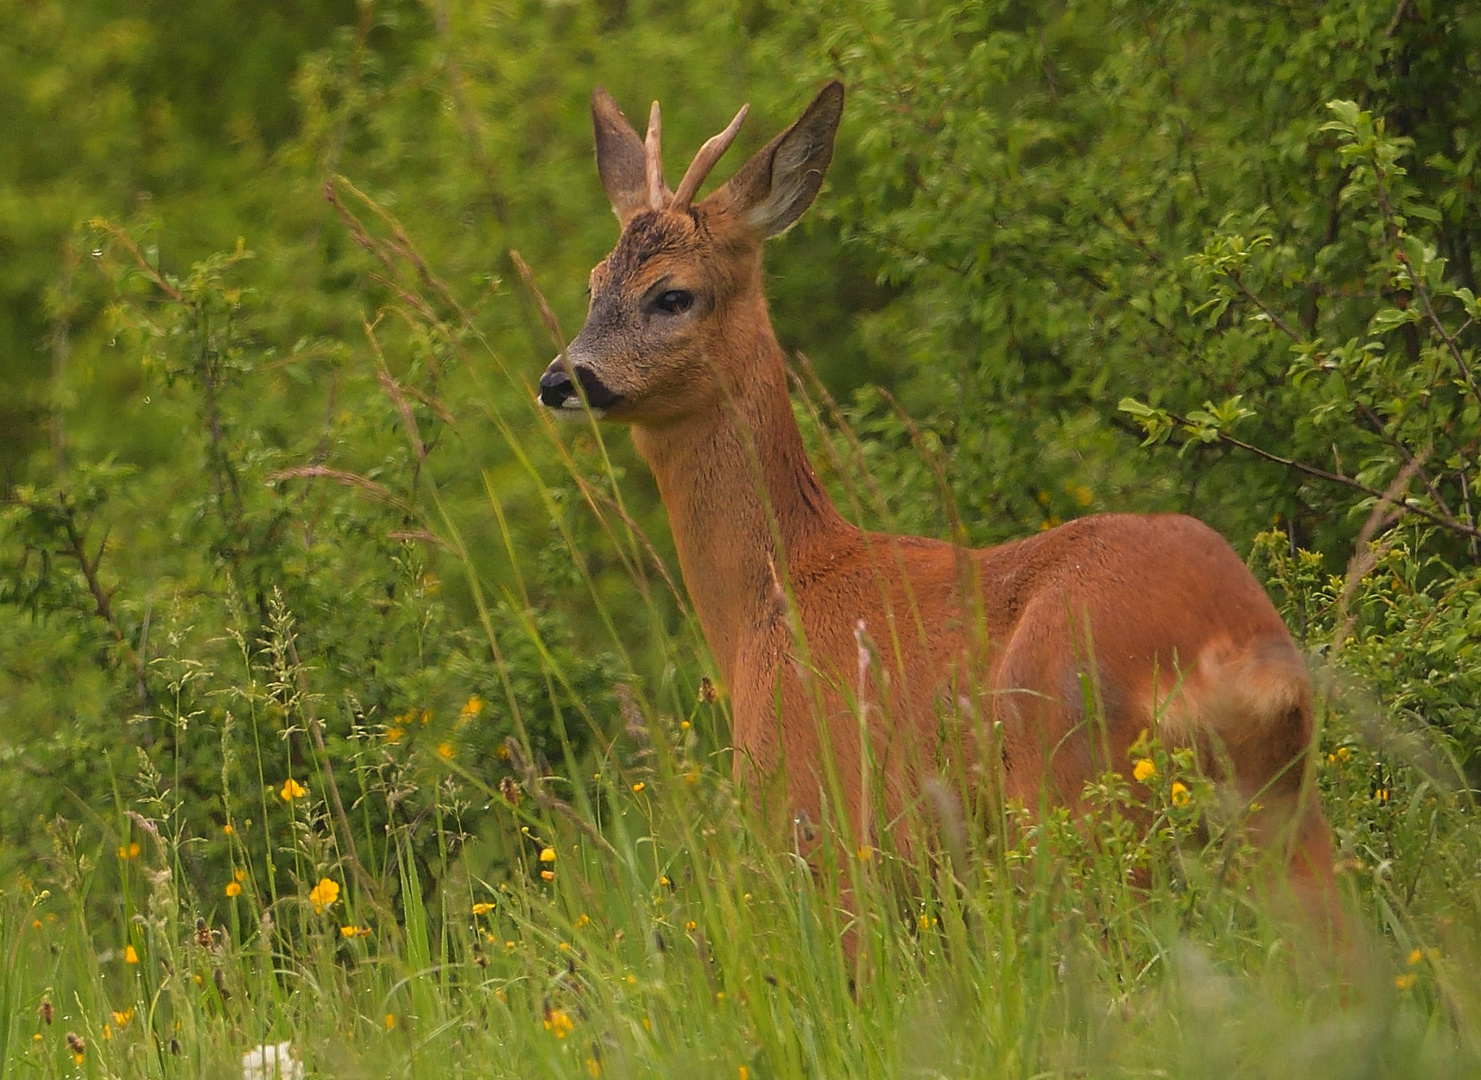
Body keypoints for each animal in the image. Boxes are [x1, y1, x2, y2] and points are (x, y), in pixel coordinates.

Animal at [539, 80, 1338, 912]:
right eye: (593, 285)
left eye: (672, 296)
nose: (560, 379)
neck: (775, 594)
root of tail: (1240, 658)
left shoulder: (825, 835)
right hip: (1281, 815)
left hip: (1081, 810)